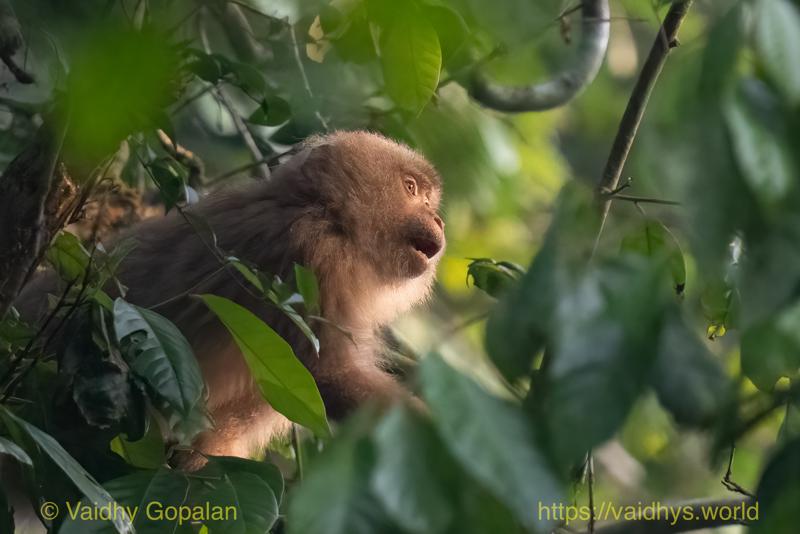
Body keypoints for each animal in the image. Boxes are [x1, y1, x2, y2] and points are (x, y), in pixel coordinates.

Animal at [13, 130, 445, 469]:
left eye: (429, 199)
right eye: (411, 189)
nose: (438, 219)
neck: (327, 217)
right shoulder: (310, 257)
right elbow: (326, 376)